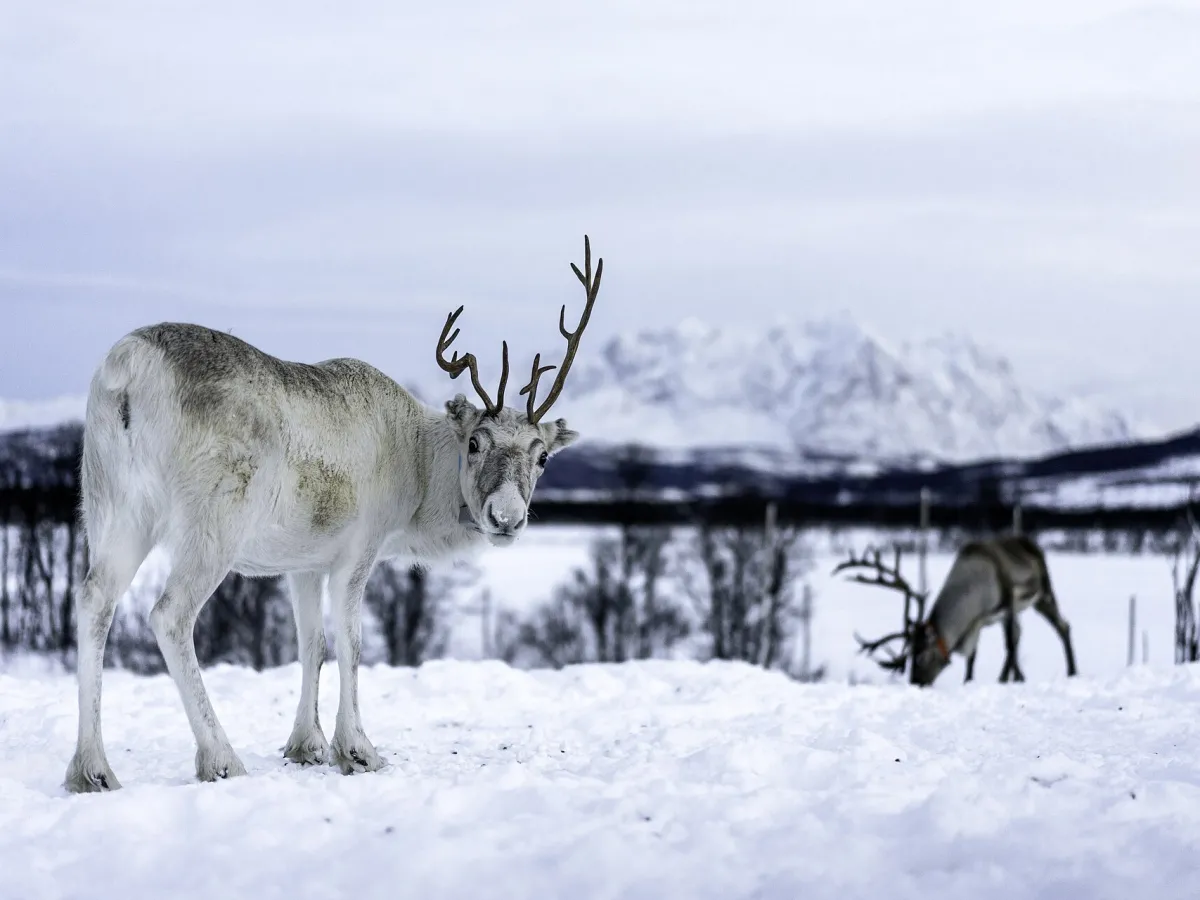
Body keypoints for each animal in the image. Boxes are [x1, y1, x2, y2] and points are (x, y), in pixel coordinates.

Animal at [64, 236, 603, 793]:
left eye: (543, 457)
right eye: (475, 442)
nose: (506, 517)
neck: (417, 464)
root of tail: (129, 369)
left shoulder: (304, 563)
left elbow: (311, 643)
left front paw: (307, 744)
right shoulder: (358, 552)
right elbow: (352, 643)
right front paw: (358, 748)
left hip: (113, 508)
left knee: (94, 599)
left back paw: (91, 769)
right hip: (213, 523)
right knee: (169, 615)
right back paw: (220, 757)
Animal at [836, 534, 1077, 687]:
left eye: (922, 656)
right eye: (910, 653)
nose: (917, 683)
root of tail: (1031, 543)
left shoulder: (1007, 604)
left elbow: (1008, 645)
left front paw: (1010, 679)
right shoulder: (977, 622)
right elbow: (972, 657)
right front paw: (970, 680)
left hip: (1043, 593)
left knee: (1062, 626)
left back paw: (1072, 671)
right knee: (1022, 634)